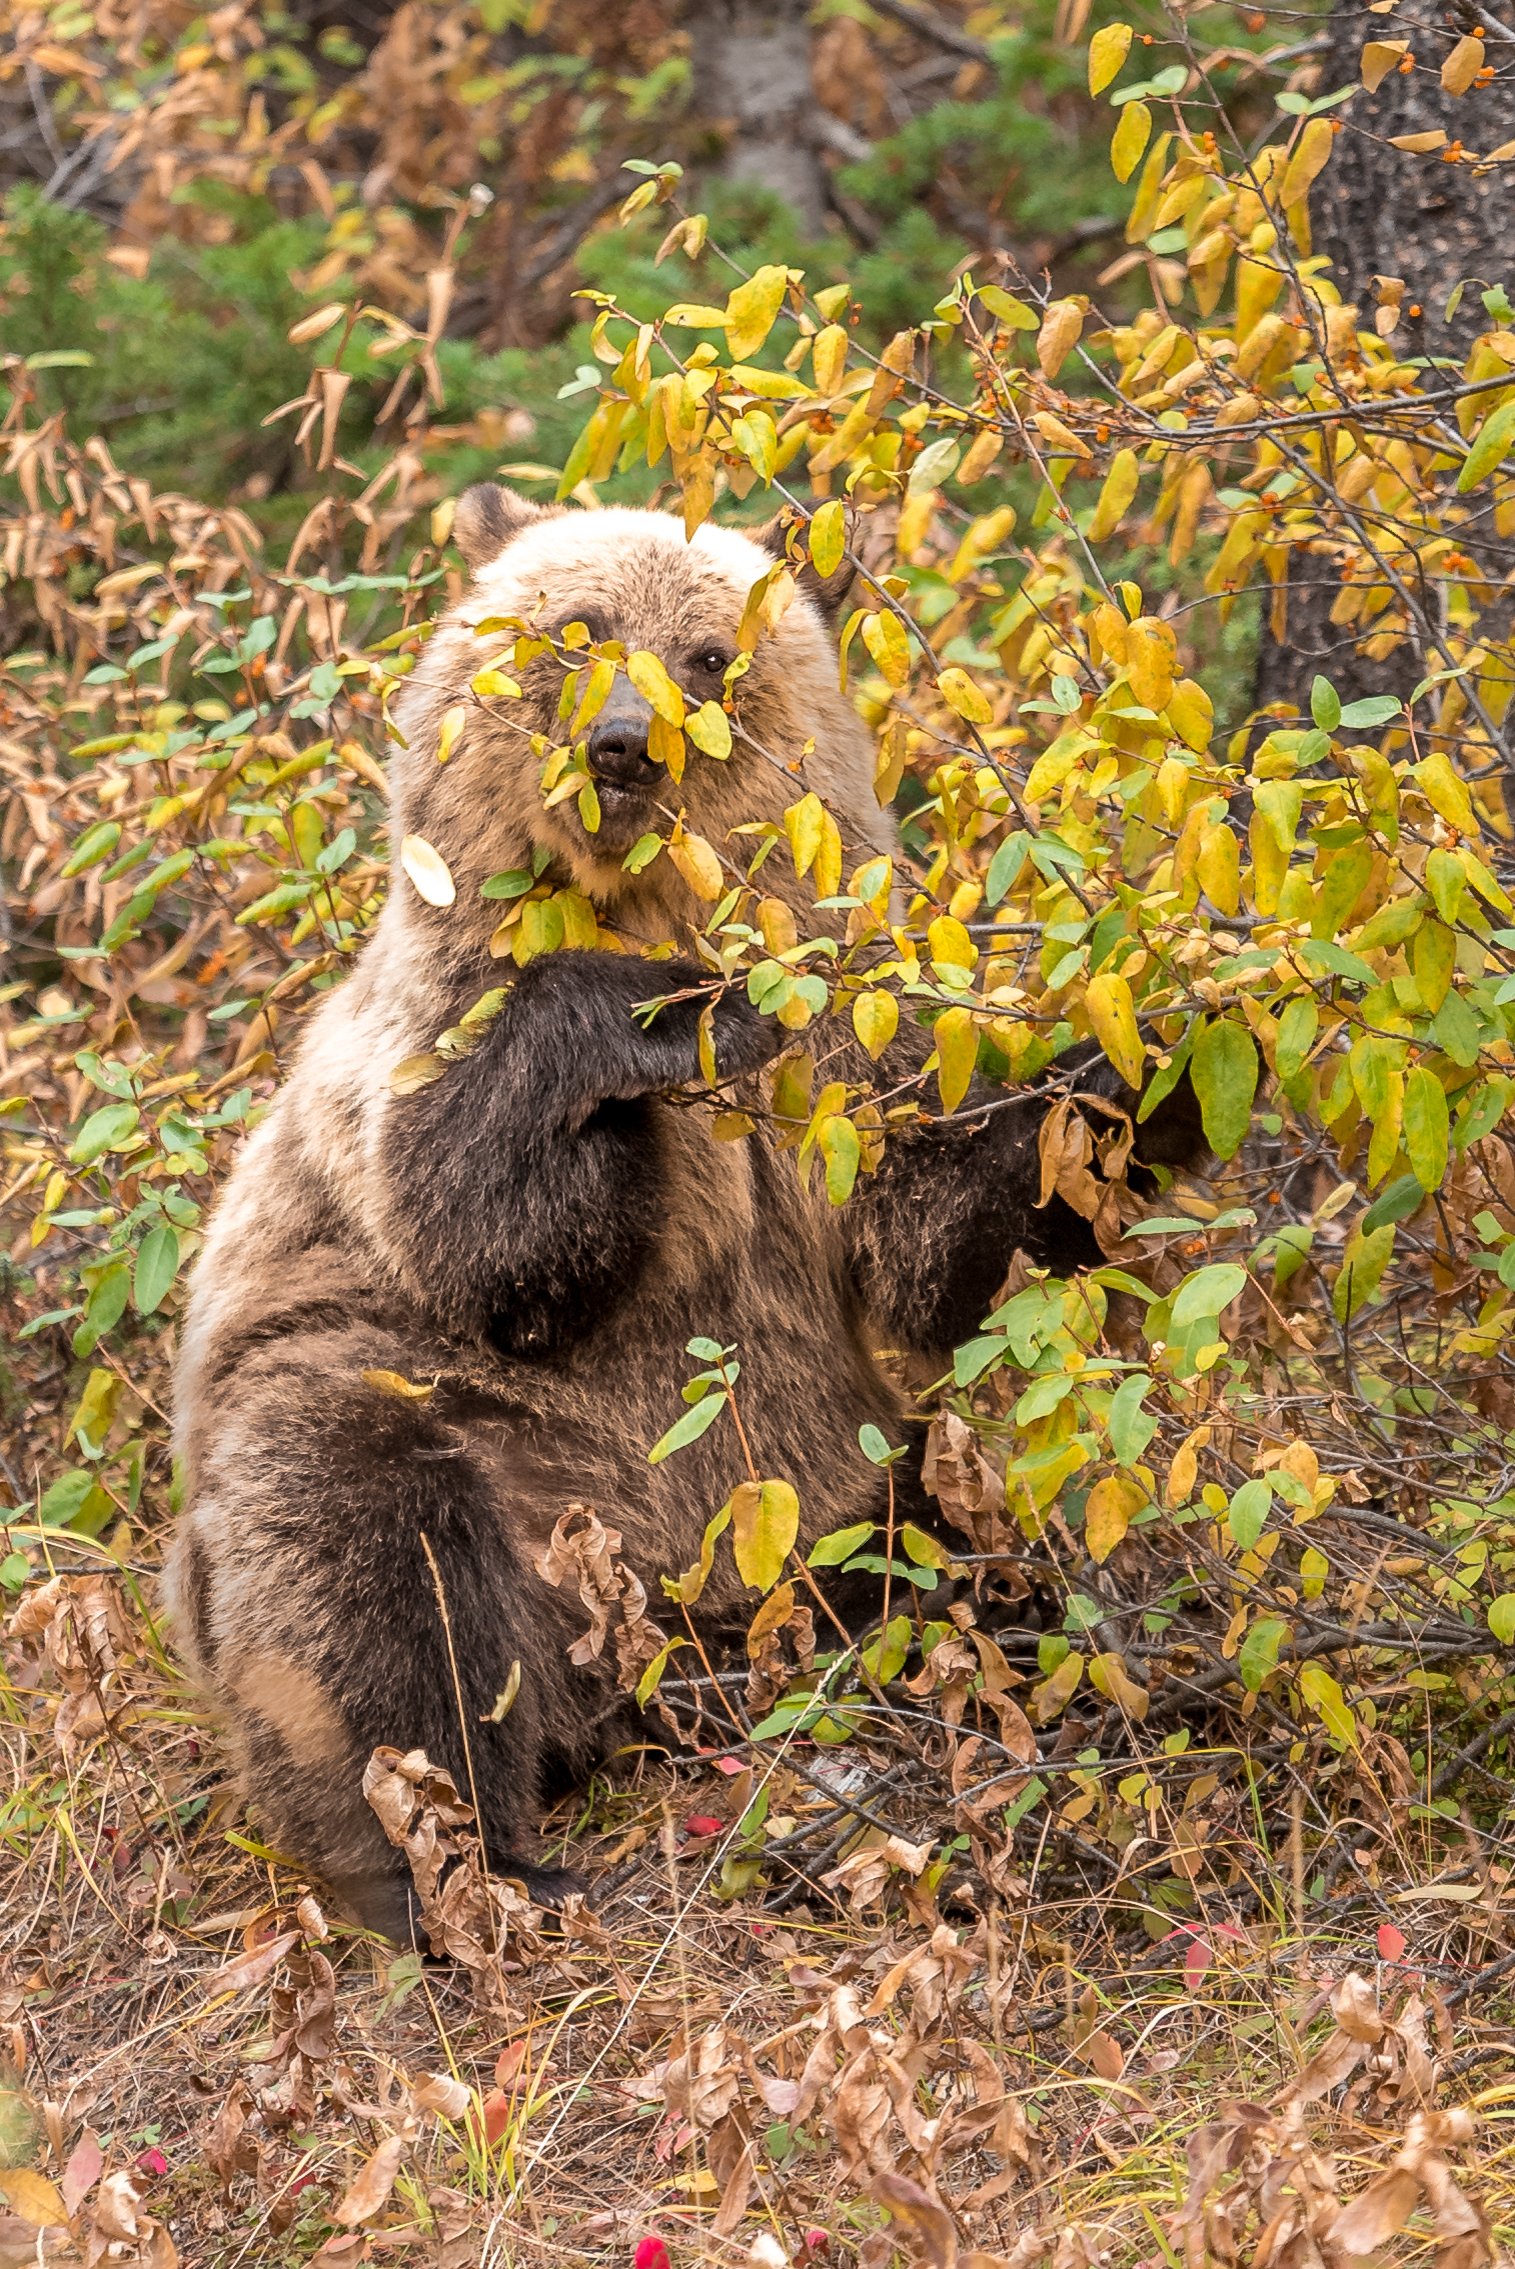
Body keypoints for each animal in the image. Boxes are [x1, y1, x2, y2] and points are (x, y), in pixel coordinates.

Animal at [163, 483, 1206, 1933]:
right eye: (576, 627)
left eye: (709, 654)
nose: (622, 747)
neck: (651, 900)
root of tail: (673, 1644)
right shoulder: (437, 1025)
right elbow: (492, 1236)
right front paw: (656, 1017)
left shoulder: (849, 1043)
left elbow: (929, 1230)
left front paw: (1169, 1057)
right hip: (483, 1458)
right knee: (357, 1565)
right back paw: (471, 1867)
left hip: (833, 1492)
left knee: (967, 1562)